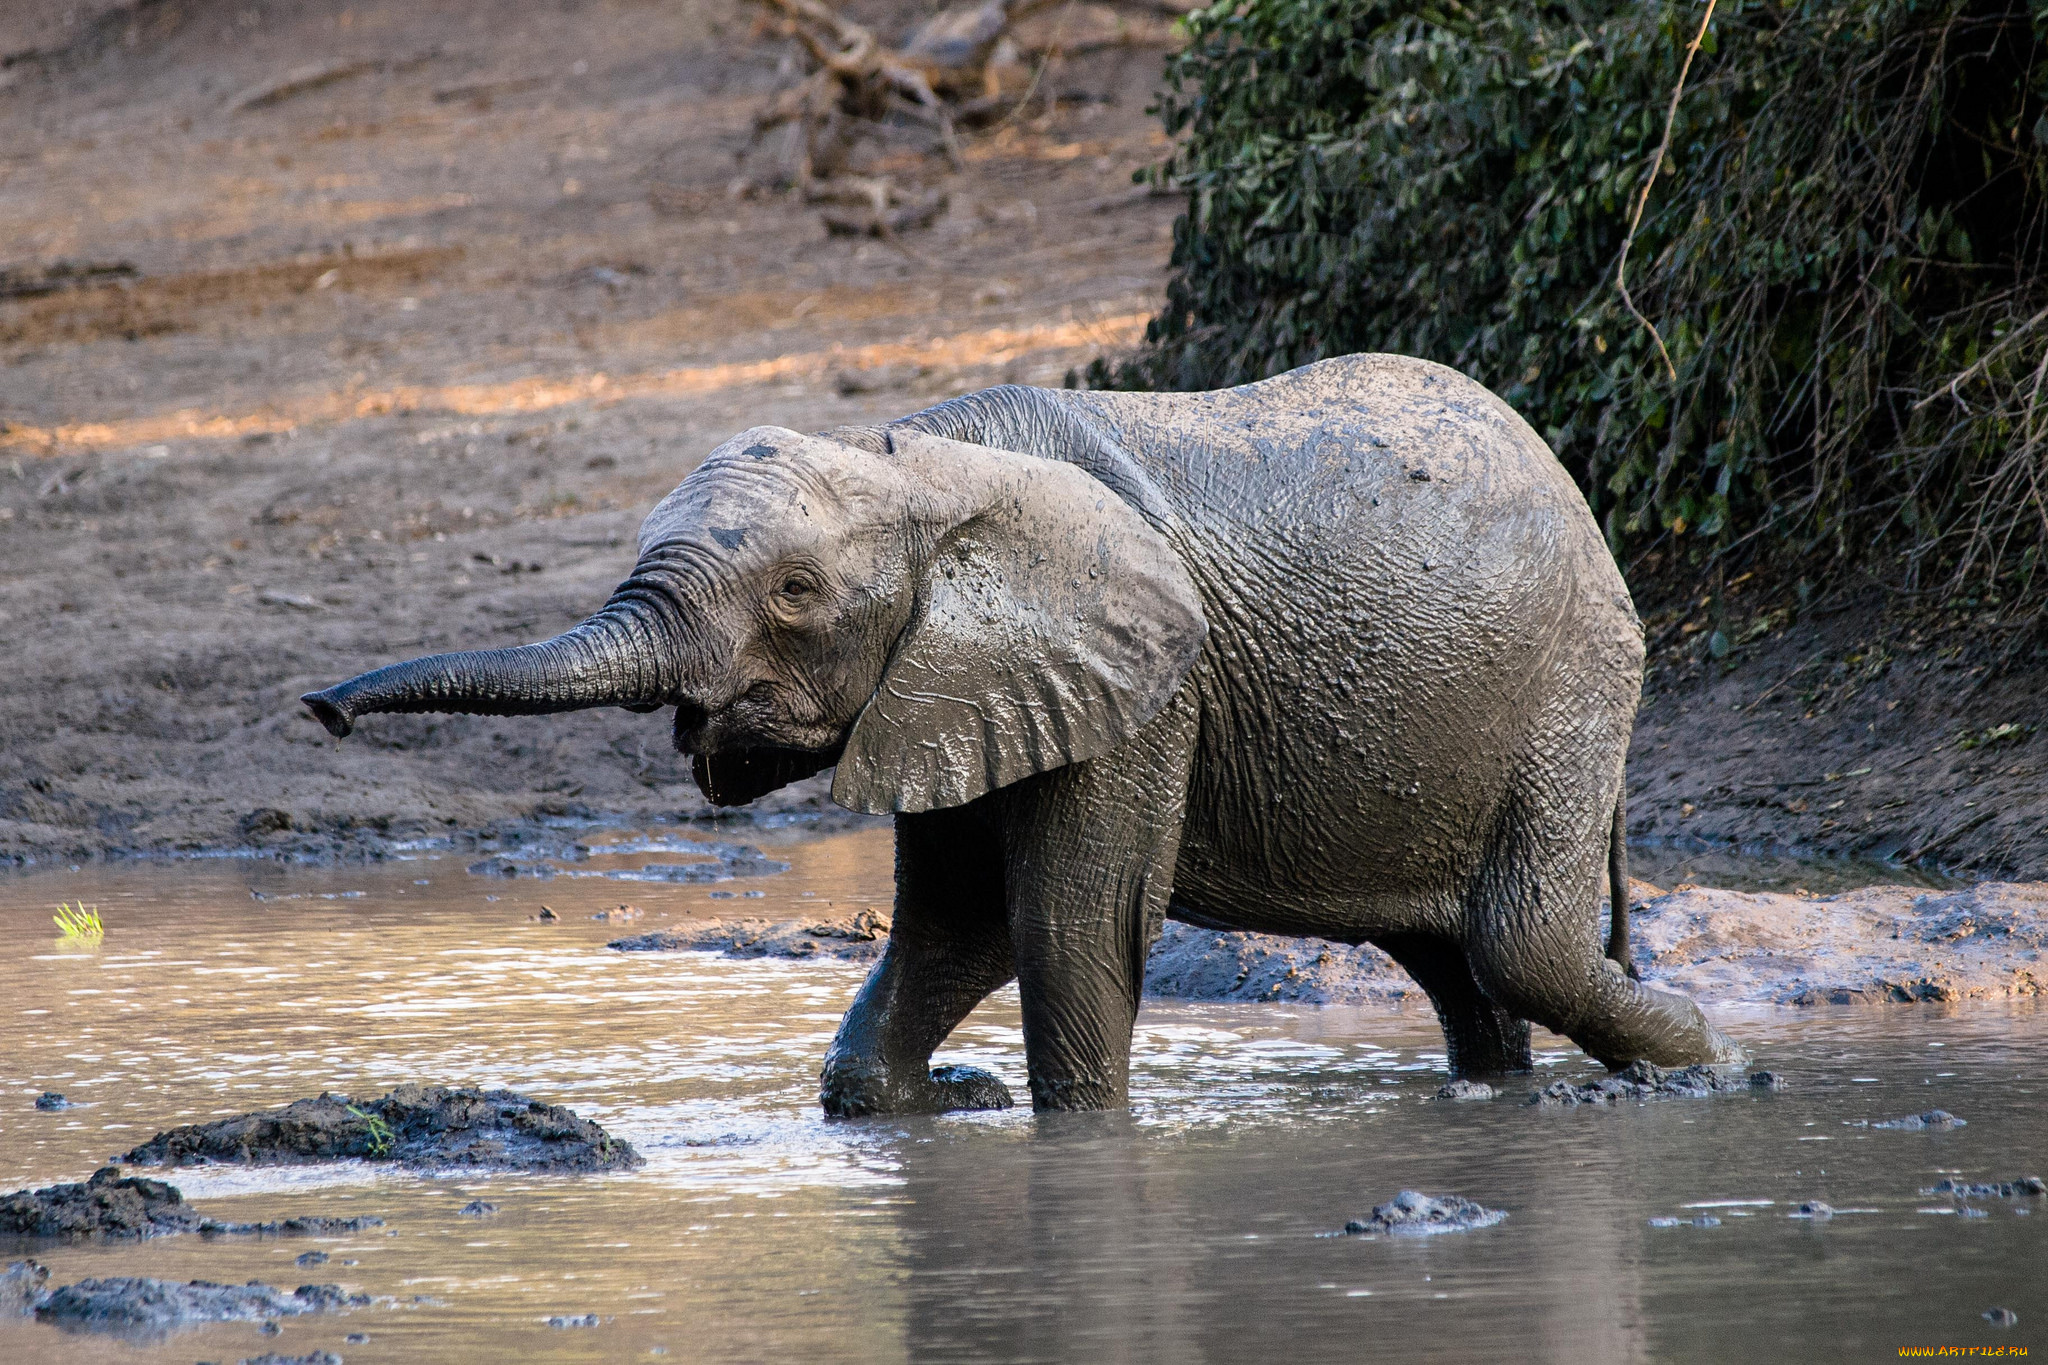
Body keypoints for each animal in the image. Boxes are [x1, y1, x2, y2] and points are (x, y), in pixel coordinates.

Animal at [303, 358, 1744, 1113]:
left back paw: (1706, 1067)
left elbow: (1067, 919)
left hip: (1574, 680)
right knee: (1458, 963)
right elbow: (957, 923)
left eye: (795, 593)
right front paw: (909, 1108)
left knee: (1518, 944)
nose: (321, 709)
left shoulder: (1148, 687)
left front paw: (1071, 1133)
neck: (918, 465)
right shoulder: (956, 684)